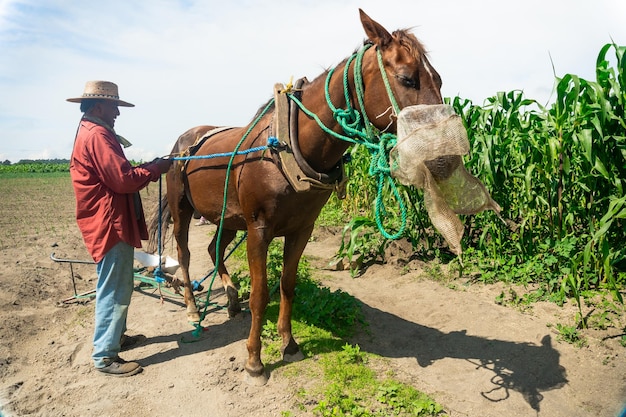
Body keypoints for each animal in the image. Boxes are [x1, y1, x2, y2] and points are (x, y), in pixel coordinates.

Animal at [150, 9, 444, 386]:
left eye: (439, 79)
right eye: (408, 79)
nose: (444, 150)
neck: (291, 147)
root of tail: (181, 143)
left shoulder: (302, 228)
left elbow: (288, 284)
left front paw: (289, 343)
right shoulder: (258, 230)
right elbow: (260, 294)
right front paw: (254, 360)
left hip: (227, 217)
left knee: (213, 248)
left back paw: (230, 298)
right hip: (182, 208)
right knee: (185, 254)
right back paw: (190, 305)